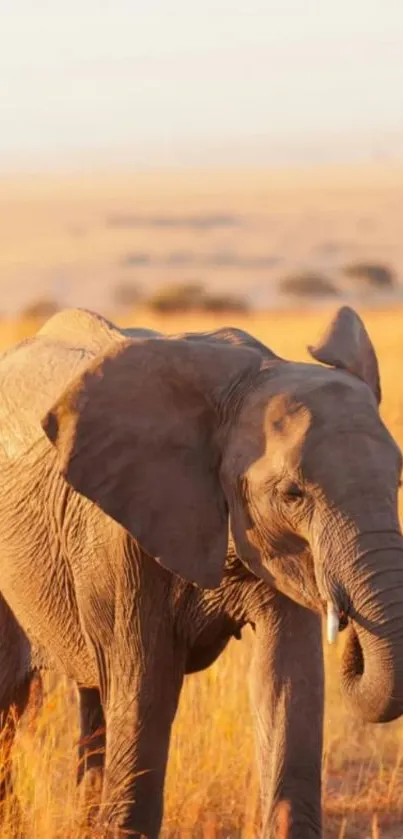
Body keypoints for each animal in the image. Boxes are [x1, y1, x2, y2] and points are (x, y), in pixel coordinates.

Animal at [0, 306, 402, 839]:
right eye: (293, 495)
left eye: (398, 480)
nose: (350, 618)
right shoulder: (120, 536)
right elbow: (146, 691)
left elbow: (285, 683)